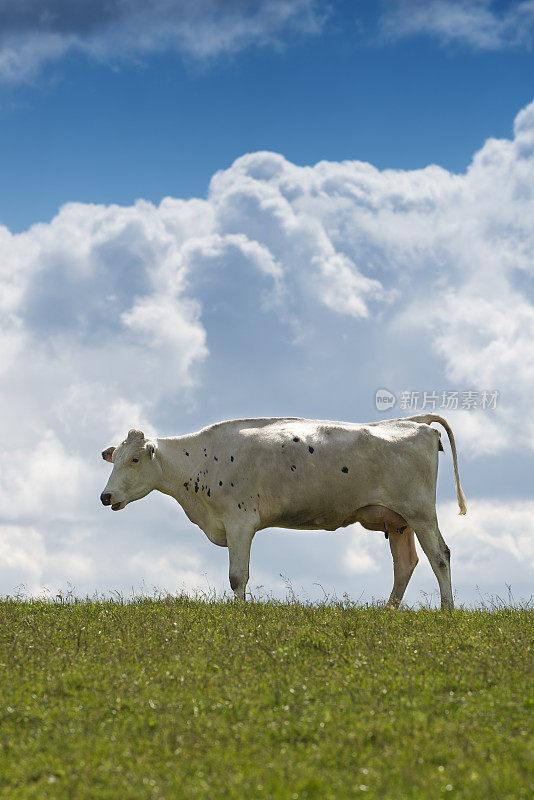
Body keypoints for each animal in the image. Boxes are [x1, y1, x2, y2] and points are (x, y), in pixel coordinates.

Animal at [99, 416, 464, 608]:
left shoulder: (240, 520)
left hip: (420, 512)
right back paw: (388, 610)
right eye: (115, 459)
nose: (105, 496)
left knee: (440, 555)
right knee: (405, 563)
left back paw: (446, 611)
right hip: (398, 520)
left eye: (135, 459)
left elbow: (237, 576)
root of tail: (414, 423)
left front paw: (240, 612)